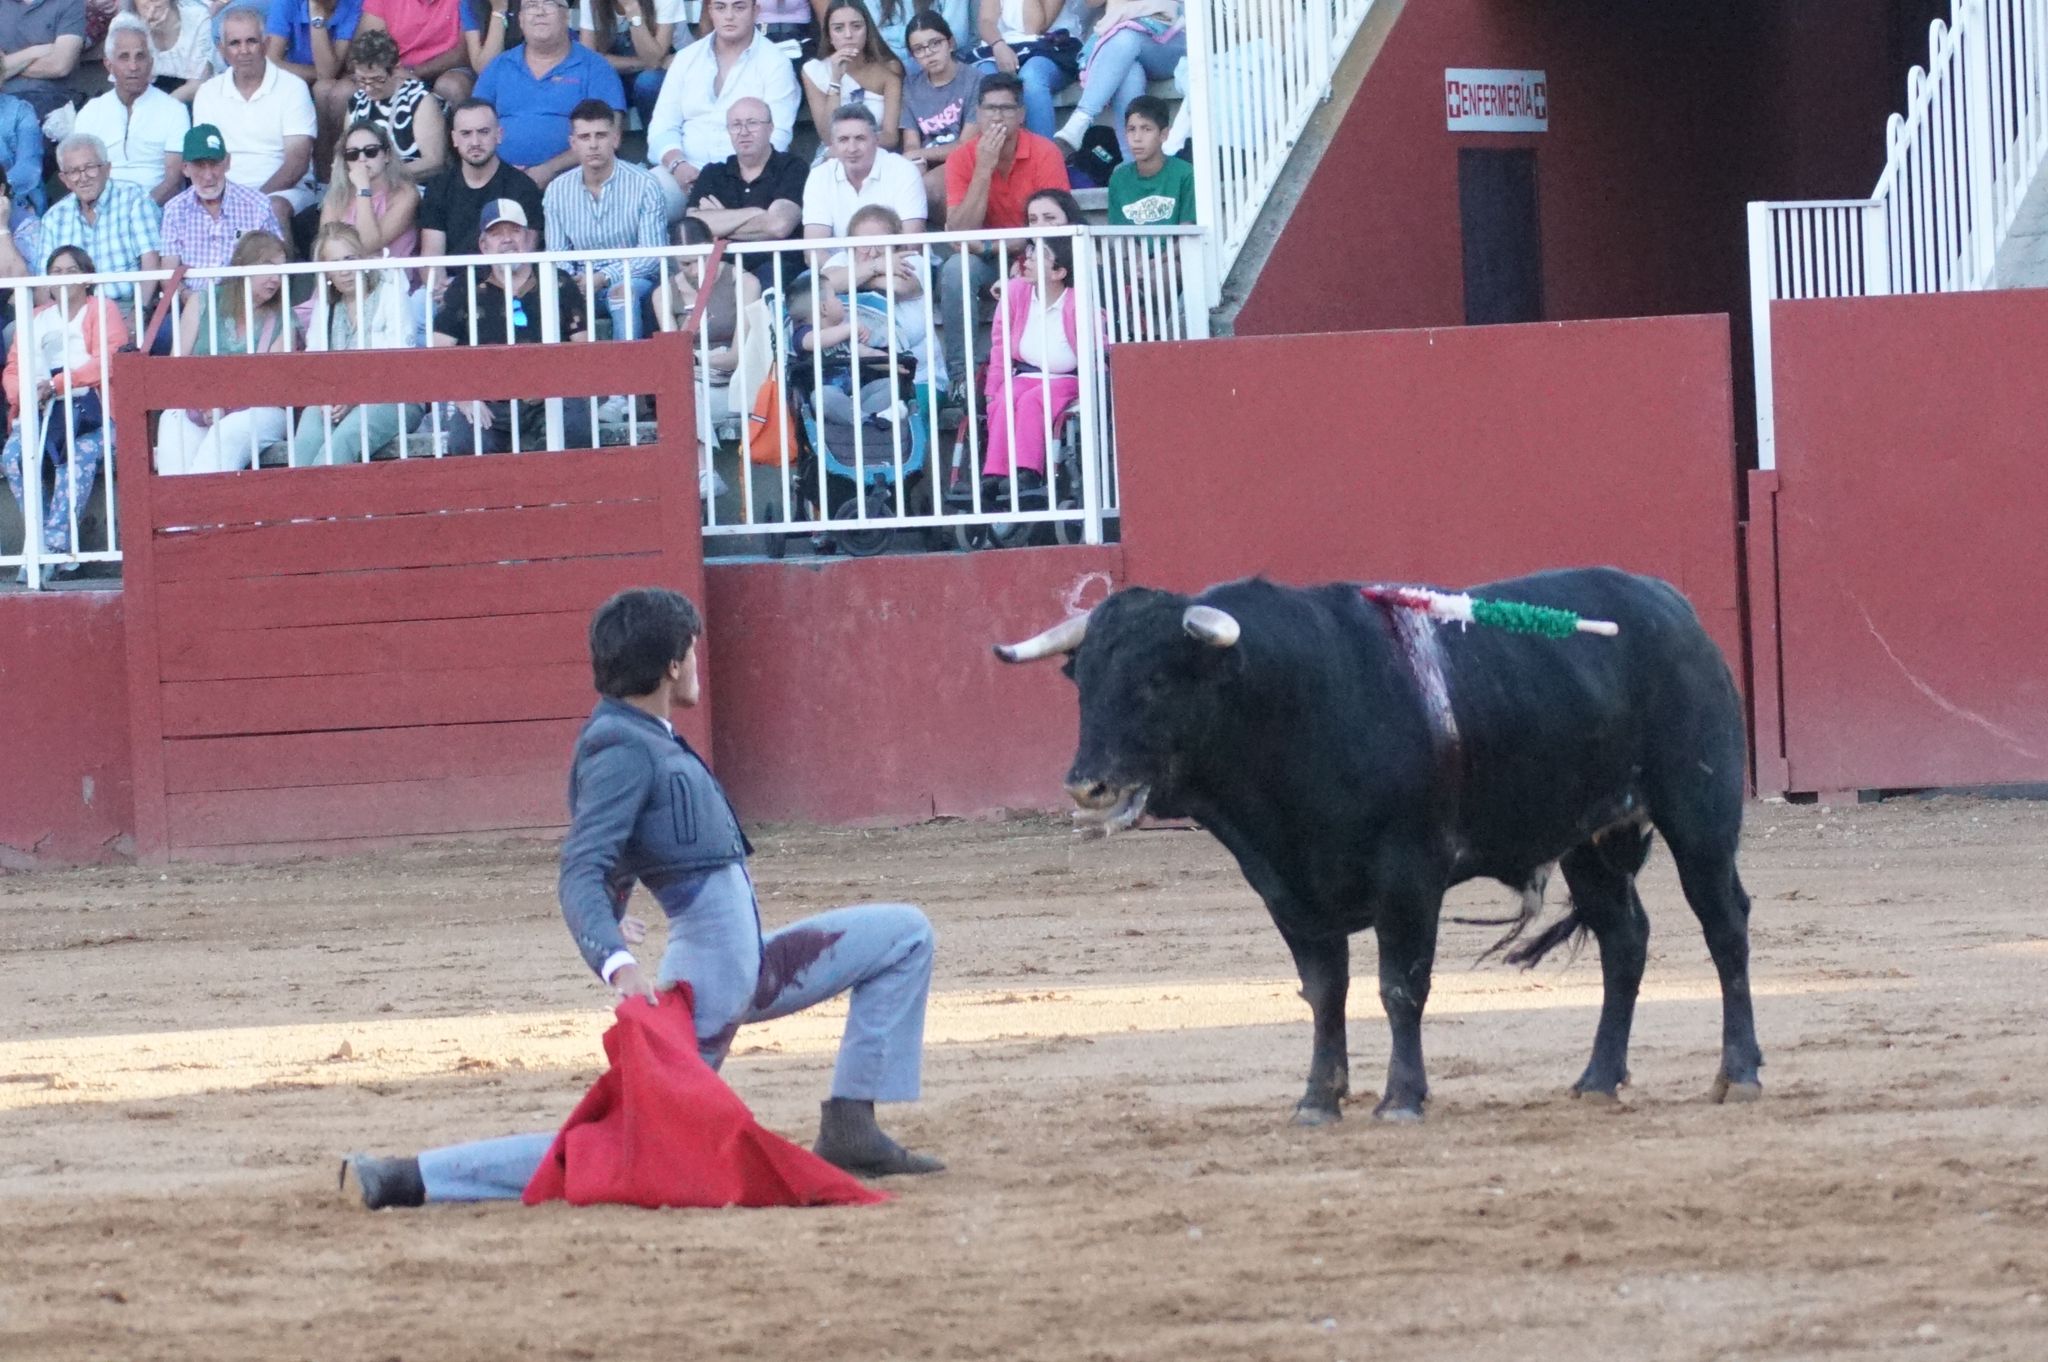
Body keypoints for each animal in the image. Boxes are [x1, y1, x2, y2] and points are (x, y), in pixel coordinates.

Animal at [995, 569, 1761, 1122]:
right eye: (1084, 681)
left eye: (1156, 680)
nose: (1087, 784)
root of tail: (1671, 606)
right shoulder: (1286, 890)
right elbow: (1324, 990)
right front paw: (1317, 1100)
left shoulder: (1409, 880)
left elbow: (1400, 987)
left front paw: (1401, 1099)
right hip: (1589, 841)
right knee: (1622, 938)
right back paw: (1598, 1078)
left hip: (1700, 817)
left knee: (1724, 926)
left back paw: (1739, 1073)